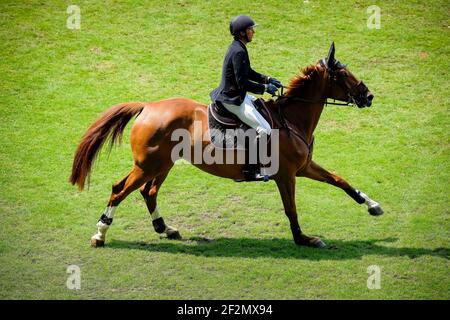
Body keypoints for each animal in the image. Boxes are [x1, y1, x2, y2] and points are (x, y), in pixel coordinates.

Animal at [70, 42, 384, 248]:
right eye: (343, 75)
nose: (368, 96)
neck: (291, 118)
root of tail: (147, 106)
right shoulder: (286, 175)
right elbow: (291, 208)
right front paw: (303, 238)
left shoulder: (304, 167)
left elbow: (340, 180)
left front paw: (373, 205)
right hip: (148, 165)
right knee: (119, 189)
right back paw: (100, 234)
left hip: (163, 164)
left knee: (149, 191)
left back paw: (165, 228)